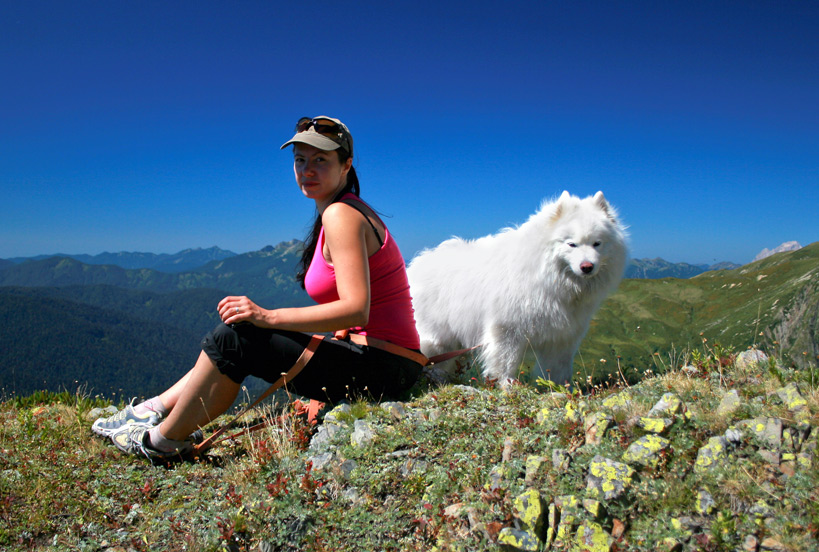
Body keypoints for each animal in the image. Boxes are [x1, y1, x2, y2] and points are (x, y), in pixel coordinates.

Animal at [408, 192, 628, 386]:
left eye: (597, 244)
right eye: (571, 244)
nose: (587, 266)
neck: (550, 280)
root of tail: (415, 266)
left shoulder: (562, 337)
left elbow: (559, 370)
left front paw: (563, 390)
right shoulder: (508, 329)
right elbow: (505, 363)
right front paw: (507, 386)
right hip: (436, 338)